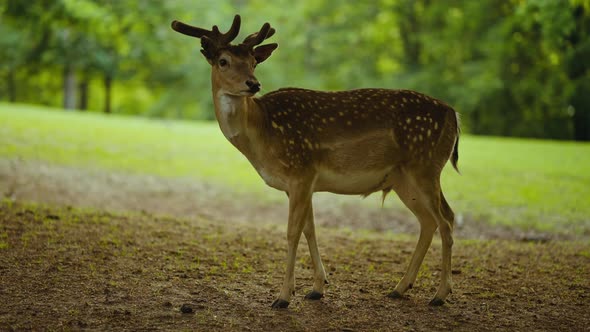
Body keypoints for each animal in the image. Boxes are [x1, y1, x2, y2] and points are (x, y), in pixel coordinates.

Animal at [171, 13, 462, 308]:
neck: (263, 134)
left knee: (446, 219)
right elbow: (310, 229)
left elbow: (292, 232)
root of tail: (454, 115)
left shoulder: (301, 171)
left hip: (425, 166)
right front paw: (317, 288)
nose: (253, 84)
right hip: (403, 178)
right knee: (428, 221)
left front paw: (283, 297)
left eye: (253, 61)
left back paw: (440, 294)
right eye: (223, 60)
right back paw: (400, 288)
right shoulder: (301, 183)